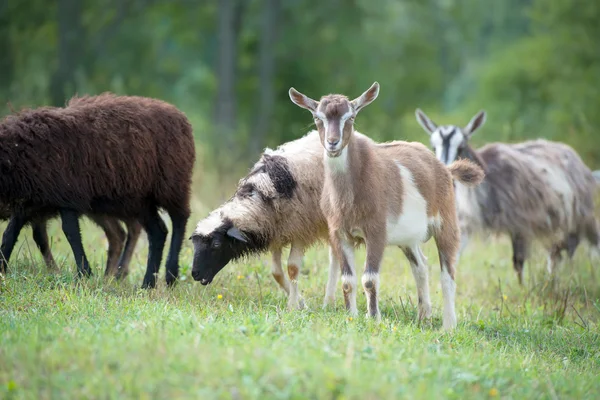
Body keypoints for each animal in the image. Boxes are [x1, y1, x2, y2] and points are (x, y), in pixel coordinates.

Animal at [190, 131, 338, 310]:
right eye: (195, 244)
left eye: (216, 244)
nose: (195, 274)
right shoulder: (276, 232)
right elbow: (276, 273)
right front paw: (301, 302)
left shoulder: (299, 230)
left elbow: (293, 268)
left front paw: (293, 306)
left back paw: (329, 300)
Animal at [288, 83, 486, 330]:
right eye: (317, 117)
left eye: (351, 117)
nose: (333, 143)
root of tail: (445, 169)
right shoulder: (339, 233)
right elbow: (348, 281)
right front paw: (351, 315)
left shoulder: (376, 231)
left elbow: (369, 279)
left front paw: (373, 317)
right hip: (407, 239)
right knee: (421, 266)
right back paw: (423, 316)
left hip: (446, 222)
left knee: (448, 272)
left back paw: (449, 326)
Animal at [418, 108, 600, 284]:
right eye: (433, 147)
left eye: (461, 147)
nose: (444, 169)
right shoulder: (467, 222)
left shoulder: (520, 223)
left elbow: (518, 261)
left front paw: (522, 288)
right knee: (558, 251)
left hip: (581, 215)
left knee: (585, 242)